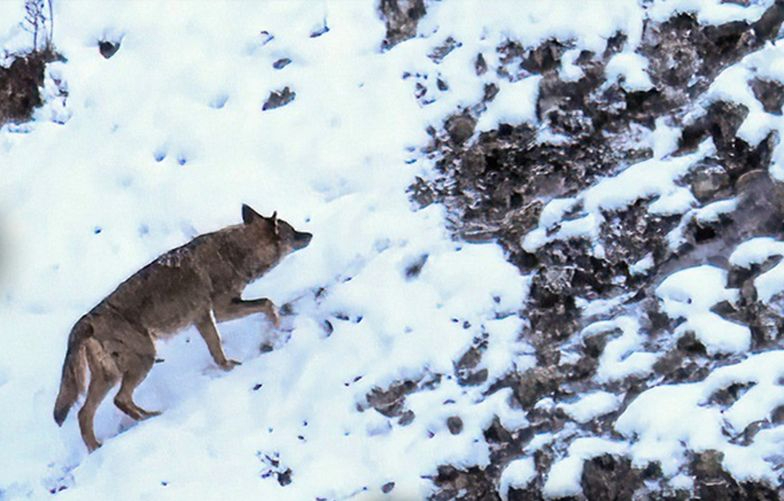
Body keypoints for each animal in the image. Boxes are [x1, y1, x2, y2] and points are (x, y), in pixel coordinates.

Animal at [53, 205, 312, 452]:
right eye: (293, 232)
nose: (310, 234)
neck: (233, 253)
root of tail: (85, 321)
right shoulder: (221, 310)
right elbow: (266, 304)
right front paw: (275, 327)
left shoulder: (204, 318)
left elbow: (217, 349)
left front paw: (228, 366)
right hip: (143, 360)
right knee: (118, 400)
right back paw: (146, 419)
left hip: (111, 376)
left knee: (85, 413)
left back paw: (101, 444)